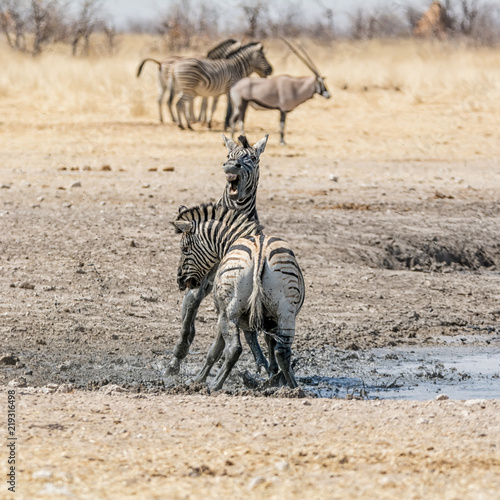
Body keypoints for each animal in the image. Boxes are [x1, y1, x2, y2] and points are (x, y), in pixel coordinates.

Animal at [167, 133, 270, 376]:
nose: (231, 166)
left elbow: (249, 328)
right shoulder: (202, 280)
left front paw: (261, 362)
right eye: (229, 155)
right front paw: (178, 356)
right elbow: (189, 315)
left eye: (253, 158)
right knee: (189, 313)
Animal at [172, 203, 304, 390]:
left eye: (184, 249)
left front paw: (198, 380)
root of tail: (260, 251)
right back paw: (295, 388)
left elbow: (215, 350)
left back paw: (215, 385)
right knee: (283, 351)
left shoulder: (222, 312)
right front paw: (274, 378)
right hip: (286, 312)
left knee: (234, 349)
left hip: (230, 312)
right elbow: (270, 344)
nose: (180, 280)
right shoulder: (272, 318)